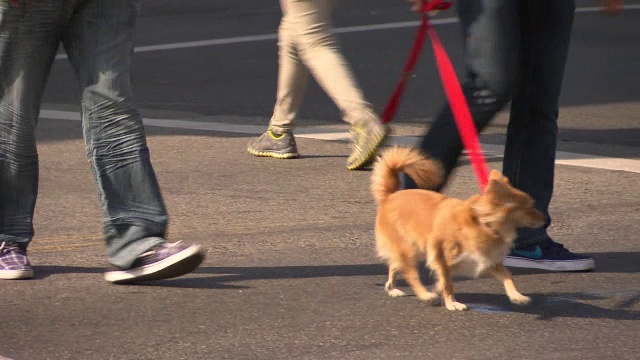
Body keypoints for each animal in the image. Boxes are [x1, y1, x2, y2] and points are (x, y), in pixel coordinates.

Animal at [370, 146, 544, 310]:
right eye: (529, 208)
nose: (545, 219)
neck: (482, 223)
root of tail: (390, 197)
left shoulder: (485, 260)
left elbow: (507, 274)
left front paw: (517, 296)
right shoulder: (443, 261)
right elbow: (447, 284)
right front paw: (452, 303)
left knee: (395, 266)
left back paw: (392, 289)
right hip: (409, 250)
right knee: (410, 273)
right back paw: (425, 295)